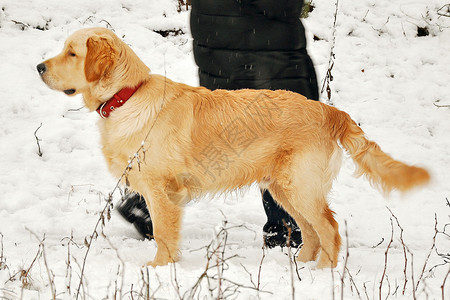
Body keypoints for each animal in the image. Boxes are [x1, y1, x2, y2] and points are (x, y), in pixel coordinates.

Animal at [37, 27, 430, 268]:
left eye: (71, 53)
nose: (39, 66)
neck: (127, 95)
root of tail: (330, 110)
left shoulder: (161, 190)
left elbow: (163, 233)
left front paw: (159, 268)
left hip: (299, 185)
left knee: (330, 230)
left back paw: (324, 276)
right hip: (284, 188)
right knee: (311, 232)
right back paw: (302, 267)